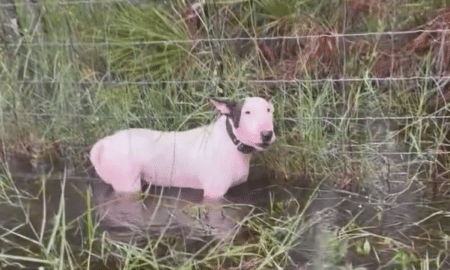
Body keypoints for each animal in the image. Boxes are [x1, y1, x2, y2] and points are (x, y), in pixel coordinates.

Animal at [89, 97, 274, 200]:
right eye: (247, 112)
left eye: (269, 110)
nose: (267, 134)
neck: (231, 141)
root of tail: (105, 143)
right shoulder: (214, 194)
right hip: (127, 185)